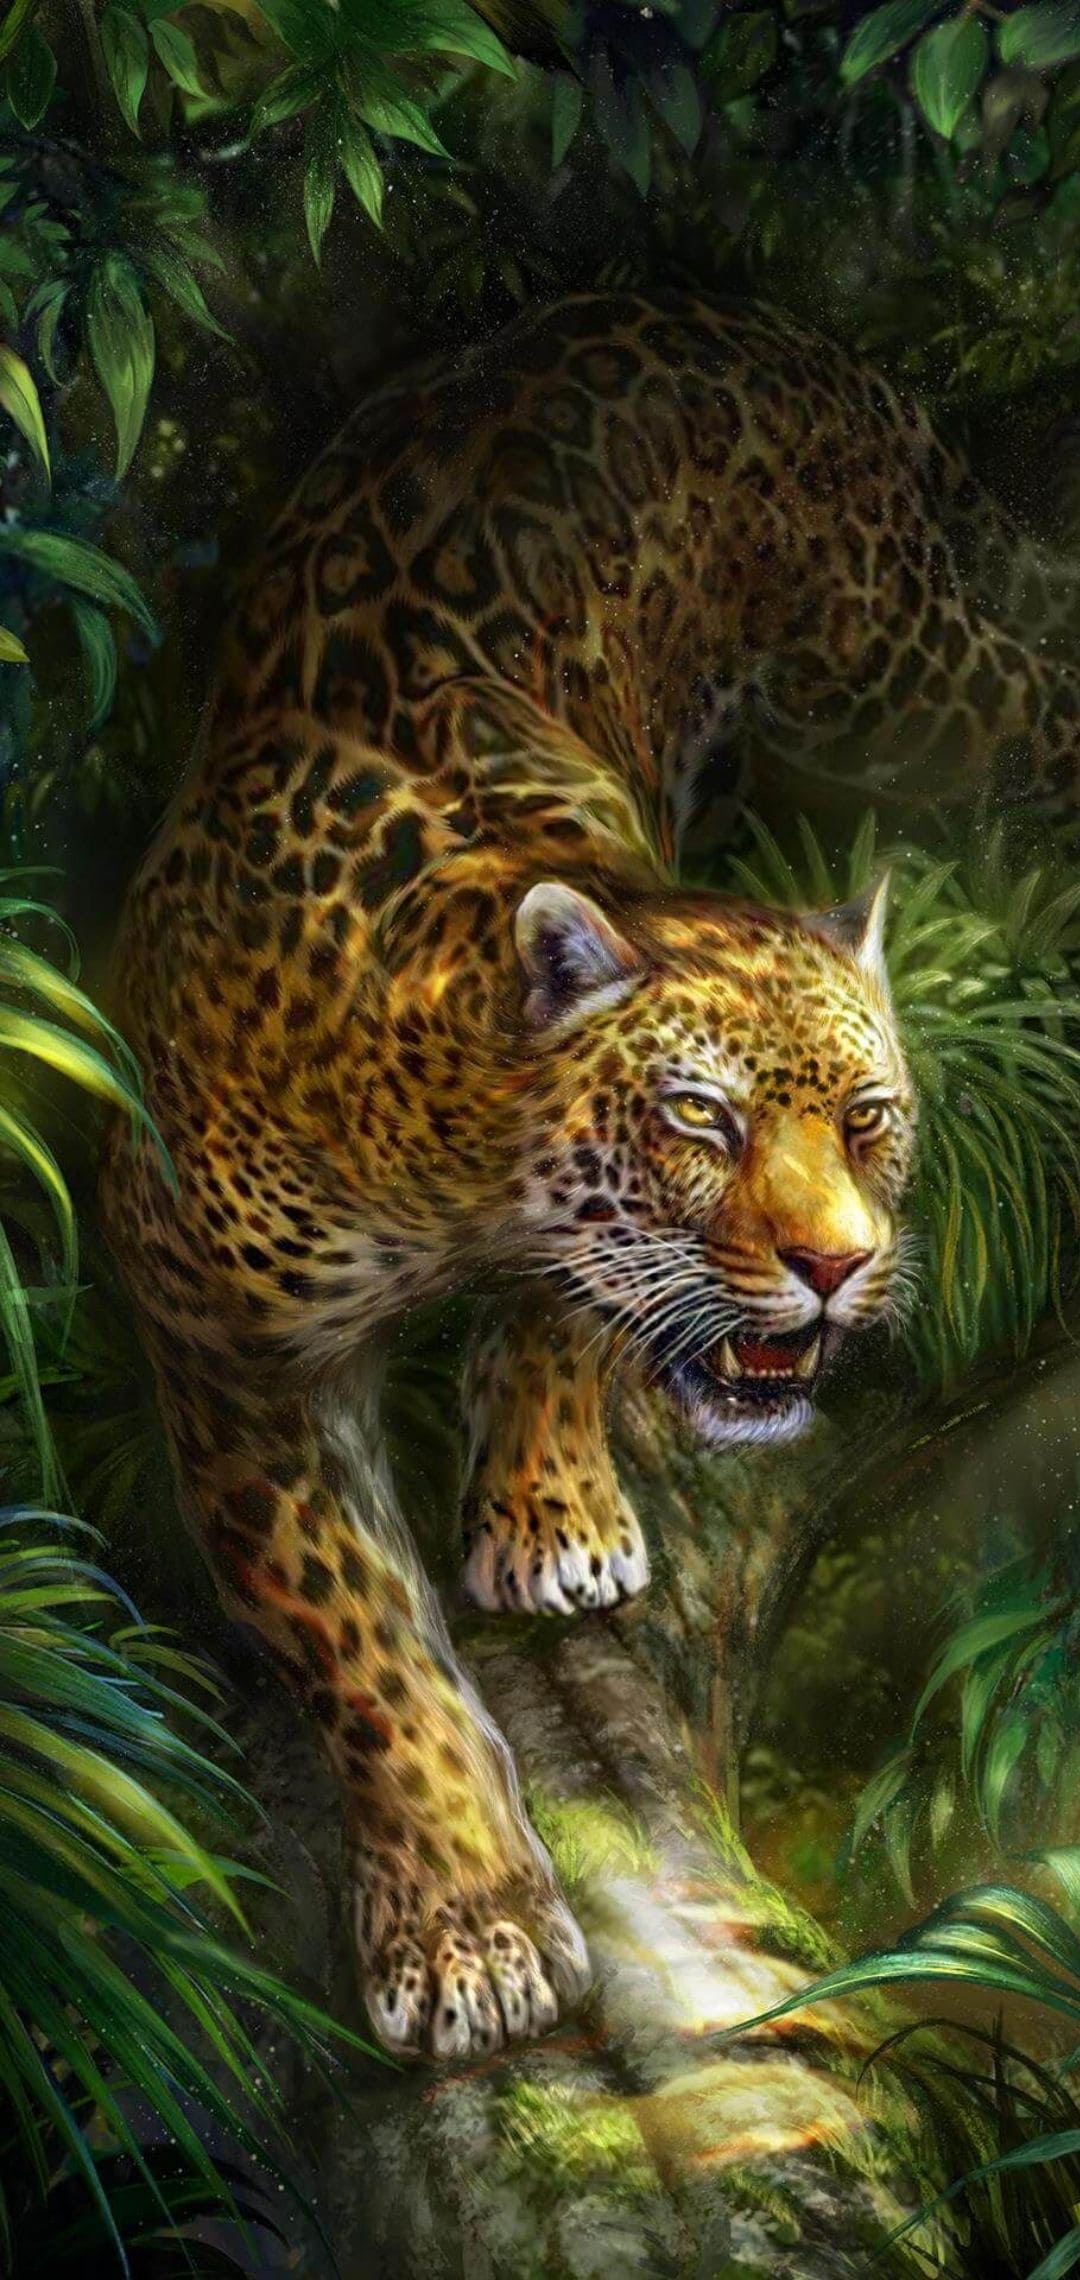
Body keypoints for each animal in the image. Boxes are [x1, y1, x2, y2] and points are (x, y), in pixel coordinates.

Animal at [100, 289, 1080, 2064]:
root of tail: (726, 311)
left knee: (1041, 695)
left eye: (869, 1120)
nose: (840, 1266)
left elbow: (567, 1317)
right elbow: (360, 1641)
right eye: (700, 1119)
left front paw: (551, 1511)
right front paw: (470, 1929)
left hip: (898, 680)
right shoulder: (227, 1346)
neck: (430, 1135)